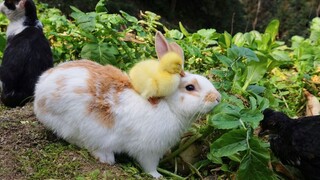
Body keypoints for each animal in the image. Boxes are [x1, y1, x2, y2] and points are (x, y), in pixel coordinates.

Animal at [33, 32, 221, 177]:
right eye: (190, 87)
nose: (217, 98)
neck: (169, 106)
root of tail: (39, 92)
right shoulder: (148, 150)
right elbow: (149, 166)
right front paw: (158, 176)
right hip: (77, 125)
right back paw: (106, 157)